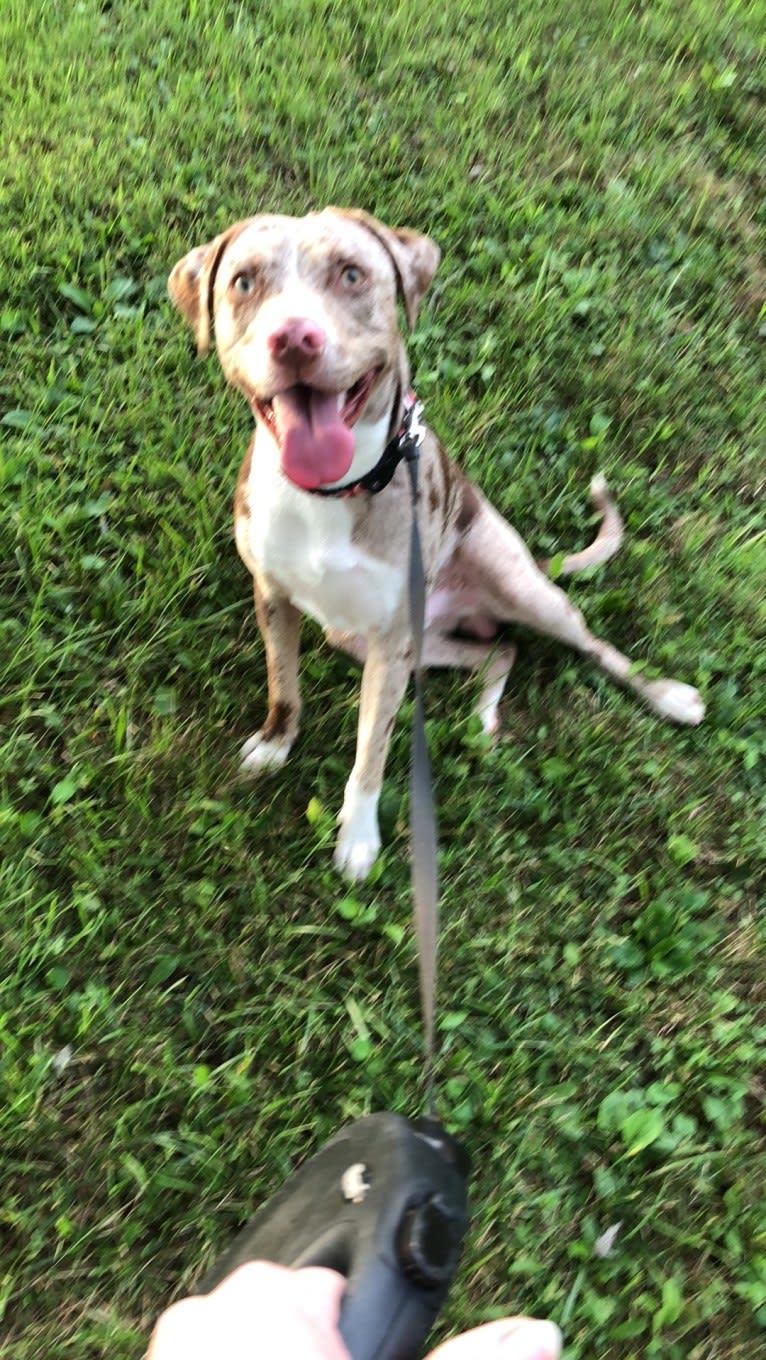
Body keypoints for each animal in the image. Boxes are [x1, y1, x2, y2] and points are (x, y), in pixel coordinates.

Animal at [169, 206, 707, 875]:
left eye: (351, 274)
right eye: (244, 282)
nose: (294, 338)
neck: (332, 492)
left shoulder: (390, 640)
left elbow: (371, 751)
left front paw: (358, 837)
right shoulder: (276, 597)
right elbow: (284, 687)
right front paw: (275, 743)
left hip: (515, 592)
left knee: (593, 646)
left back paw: (668, 696)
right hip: (371, 639)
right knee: (502, 651)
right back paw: (483, 716)